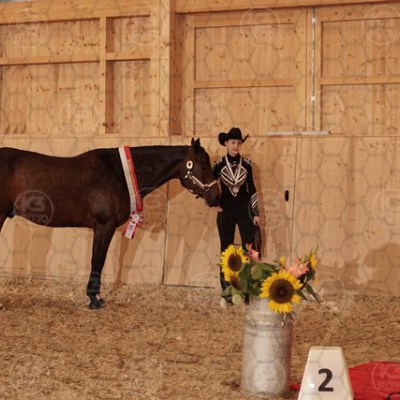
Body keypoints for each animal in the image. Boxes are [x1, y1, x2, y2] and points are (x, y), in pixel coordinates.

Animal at [0, 138, 220, 309]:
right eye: (203, 166)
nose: (216, 197)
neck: (118, 173)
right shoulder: (104, 225)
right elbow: (97, 260)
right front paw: (94, 300)